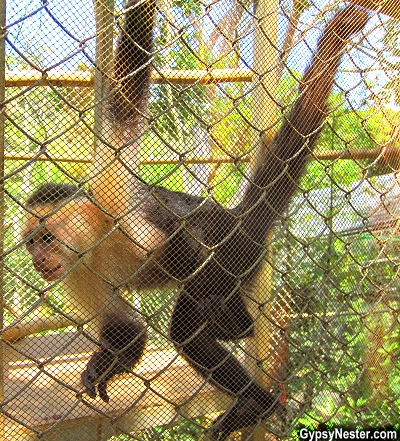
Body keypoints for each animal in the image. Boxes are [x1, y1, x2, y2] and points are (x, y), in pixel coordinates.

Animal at [21, 1, 368, 438]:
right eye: (31, 242)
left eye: (46, 237)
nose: (37, 259)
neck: (94, 244)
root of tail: (240, 218)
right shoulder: (77, 273)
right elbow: (126, 327)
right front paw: (110, 363)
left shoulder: (110, 198)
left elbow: (127, 109)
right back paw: (255, 400)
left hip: (236, 248)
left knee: (195, 293)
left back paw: (240, 336)